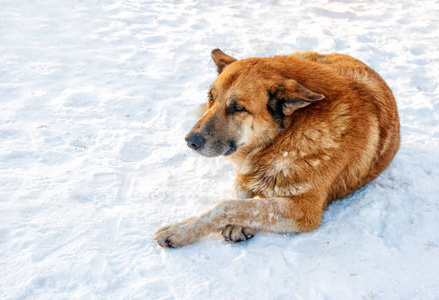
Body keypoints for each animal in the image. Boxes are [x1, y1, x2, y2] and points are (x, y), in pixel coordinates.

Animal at [156, 48, 402, 247]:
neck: (283, 138)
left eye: (238, 108)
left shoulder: (304, 209)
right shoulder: (247, 172)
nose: (190, 140)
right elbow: (240, 195)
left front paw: (180, 230)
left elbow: (229, 206)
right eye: (210, 98)